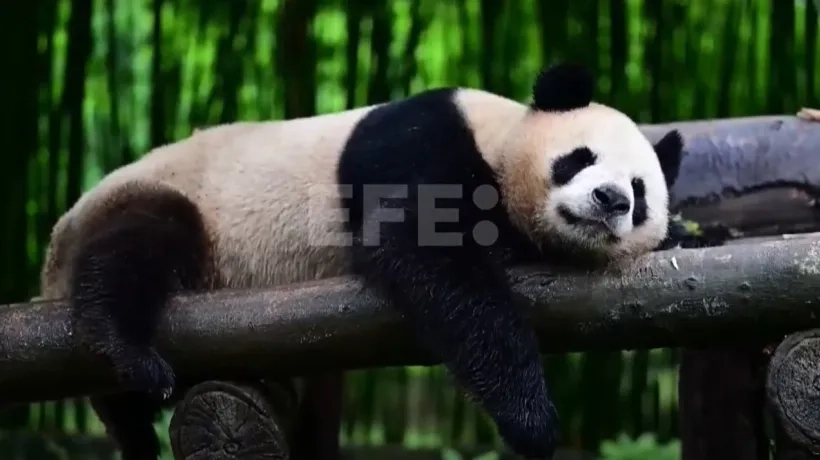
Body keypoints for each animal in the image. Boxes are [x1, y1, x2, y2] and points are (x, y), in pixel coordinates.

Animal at [36, 62, 680, 460]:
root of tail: (53, 254)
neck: (496, 137)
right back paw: (130, 353)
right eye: (580, 158)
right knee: (135, 248)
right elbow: (426, 251)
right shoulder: (419, 141)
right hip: (173, 203)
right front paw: (532, 420)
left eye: (640, 191)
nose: (612, 200)